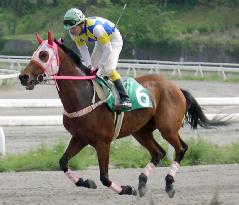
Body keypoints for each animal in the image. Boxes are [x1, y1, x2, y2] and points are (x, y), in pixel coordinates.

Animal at [19, 32, 226, 198]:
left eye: (44, 55)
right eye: (34, 54)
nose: (23, 77)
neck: (84, 96)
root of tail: (176, 87)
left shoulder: (103, 142)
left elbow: (104, 177)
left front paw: (126, 189)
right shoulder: (79, 138)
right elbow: (62, 163)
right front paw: (86, 182)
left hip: (167, 128)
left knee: (181, 148)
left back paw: (168, 184)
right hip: (141, 131)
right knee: (158, 152)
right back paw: (142, 182)